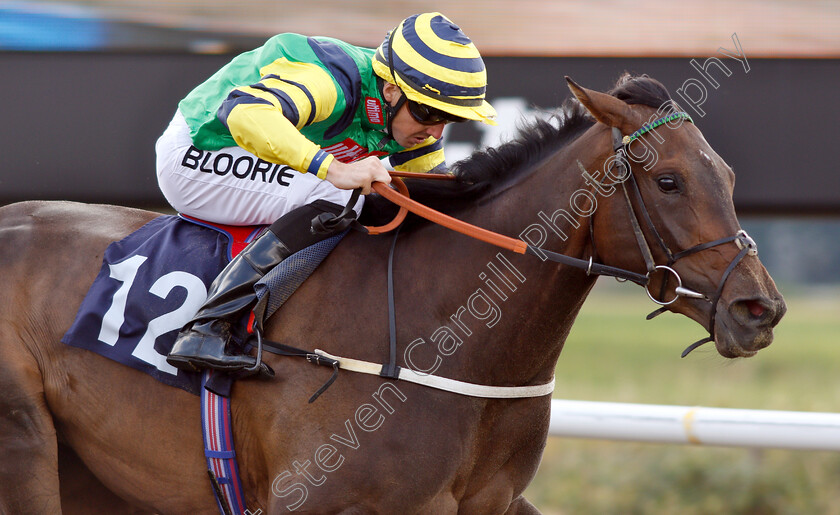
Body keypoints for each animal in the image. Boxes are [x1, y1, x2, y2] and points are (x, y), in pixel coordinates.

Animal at [1, 74, 788, 512]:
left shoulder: (491, 503)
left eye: (729, 177)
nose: (760, 308)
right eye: (670, 182)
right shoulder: (310, 500)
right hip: (27, 444)